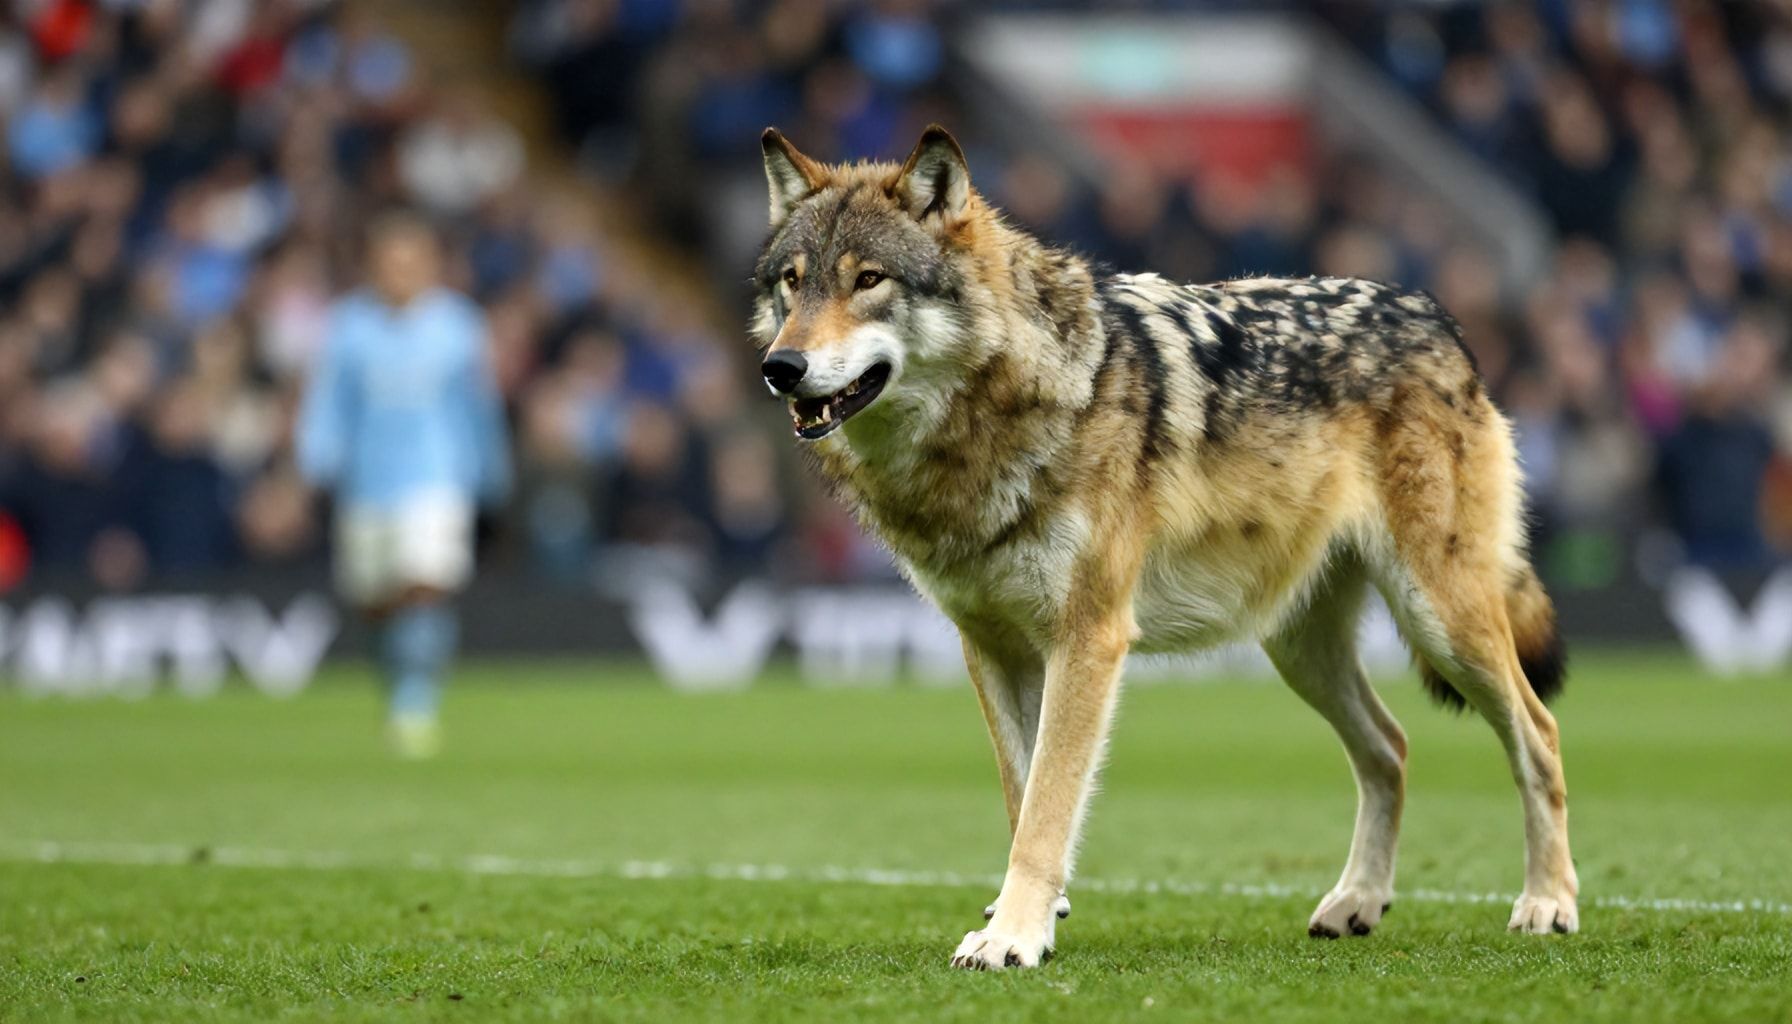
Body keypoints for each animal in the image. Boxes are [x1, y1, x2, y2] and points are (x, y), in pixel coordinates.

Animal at [751, 125, 1576, 970]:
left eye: (869, 280)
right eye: (792, 283)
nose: (780, 367)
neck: (992, 421)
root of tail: (1434, 315)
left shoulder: (1087, 640)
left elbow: (1047, 808)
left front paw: (1011, 937)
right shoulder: (992, 648)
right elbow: (1022, 795)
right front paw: (1037, 919)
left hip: (1441, 620)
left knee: (1538, 736)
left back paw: (1547, 903)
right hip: (1301, 650)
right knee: (1392, 747)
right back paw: (1358, 901)